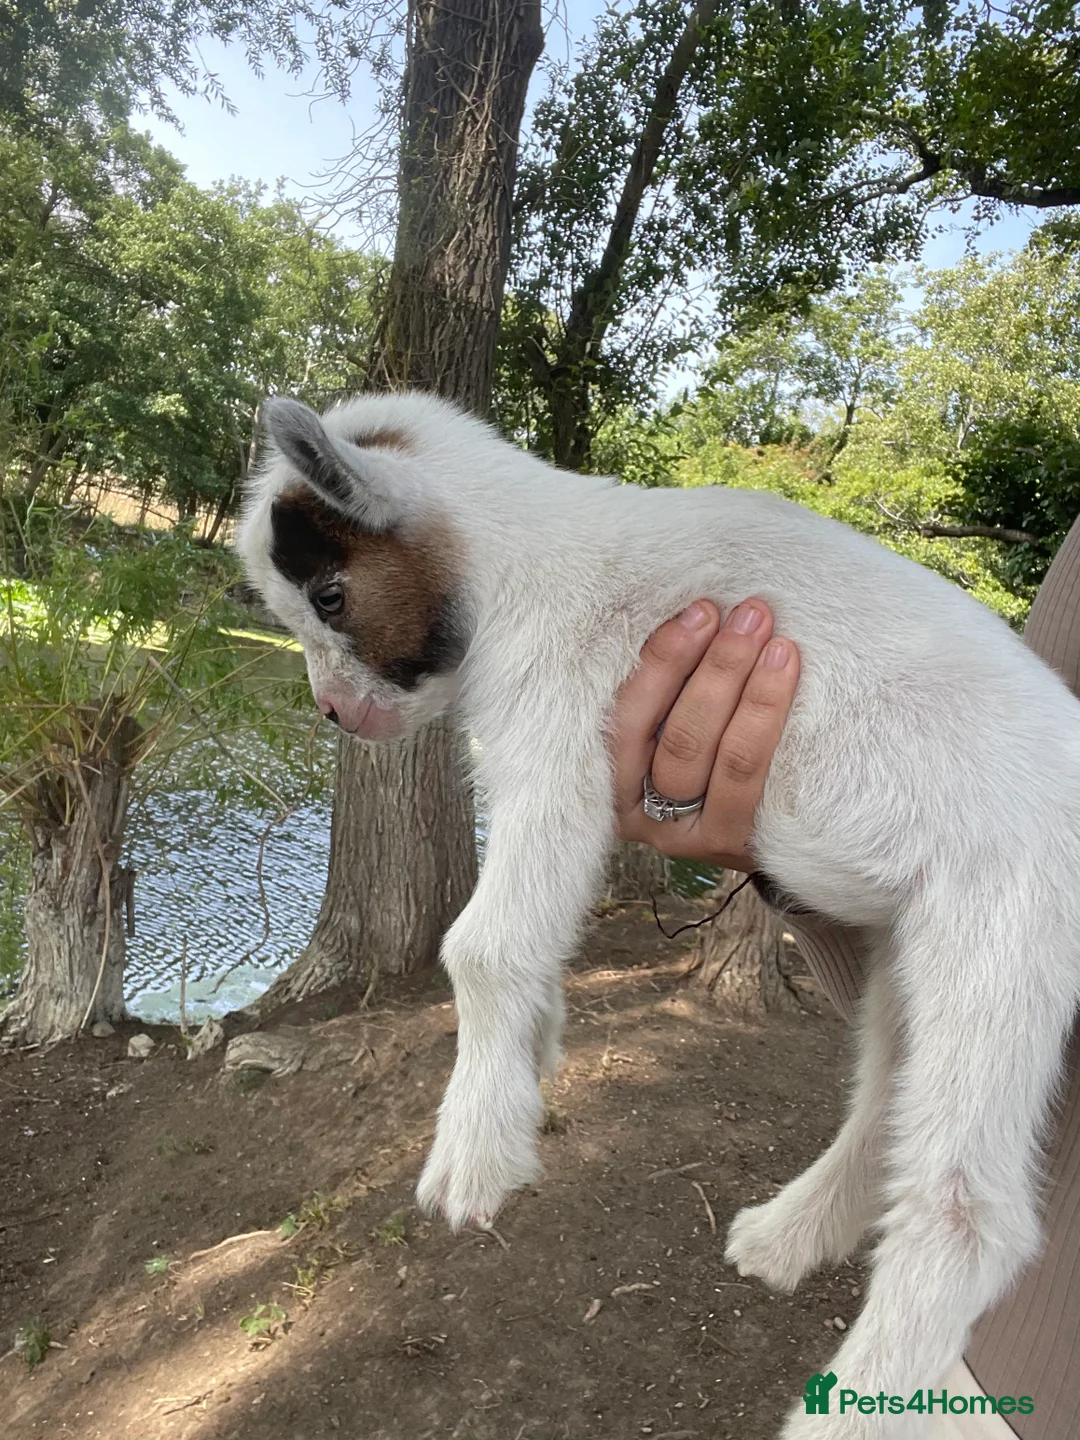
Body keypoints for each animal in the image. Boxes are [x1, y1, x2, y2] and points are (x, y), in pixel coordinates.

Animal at [236, 391, 1080, 1438]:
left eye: (330, 597)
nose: (335, 716)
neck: (523, 561)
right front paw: (531, 1057)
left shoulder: (559, 752)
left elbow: (482, 948)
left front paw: (475, 1154)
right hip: (918, 948)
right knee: (888, 1100)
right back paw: (787, 1237)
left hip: (1005, 938)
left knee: (966, 1210)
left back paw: (848, 1407)